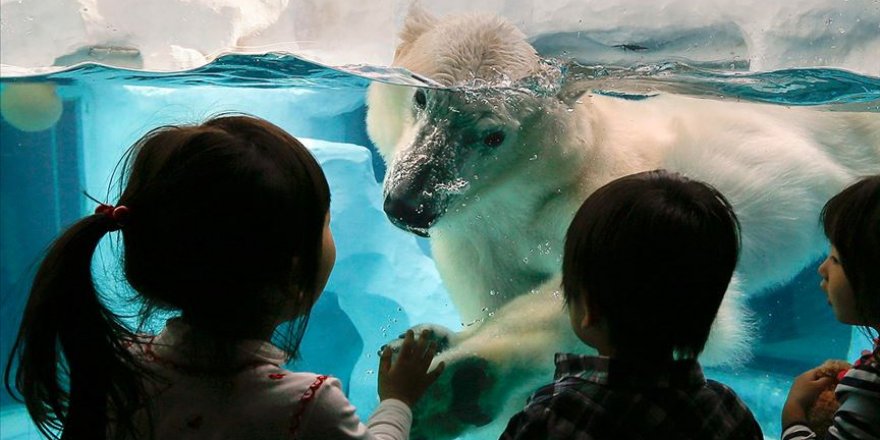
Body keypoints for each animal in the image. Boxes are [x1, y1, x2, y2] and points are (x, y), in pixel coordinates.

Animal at [364, 6, 880, 440]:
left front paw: (452, 384)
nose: (409, 205)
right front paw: (438, 340)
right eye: (421, 96)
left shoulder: (600, 196)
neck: (523, 197)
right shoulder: (477, 240)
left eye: (493, 135)